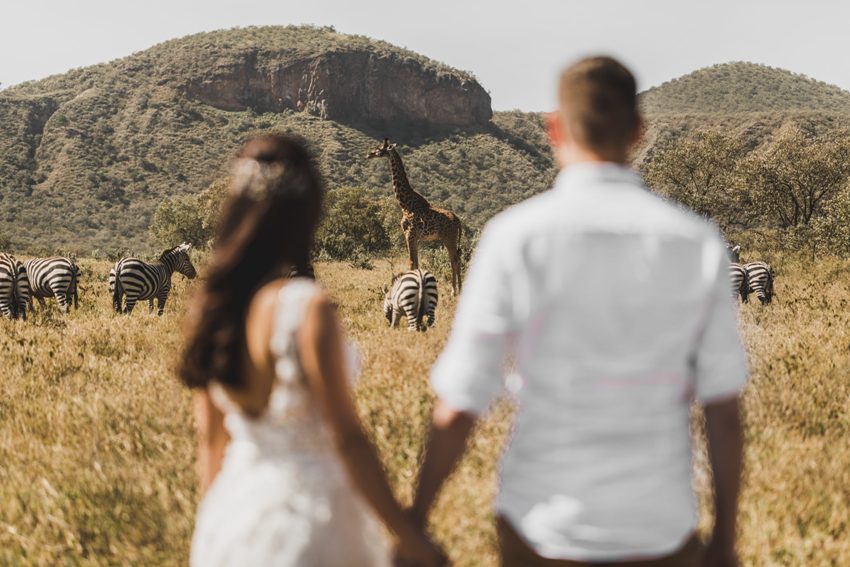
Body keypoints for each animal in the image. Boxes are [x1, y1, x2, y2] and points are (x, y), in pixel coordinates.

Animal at [366, 140, 460, 296]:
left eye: (380, 149)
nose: (369, 154)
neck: (405, 204)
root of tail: (459, 221)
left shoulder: (409, 233)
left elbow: (411, 262)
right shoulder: (415, 237)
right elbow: (416, 262)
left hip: (449, 238)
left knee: (454, 260)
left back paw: (455, 291)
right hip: (451, 239)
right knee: (456, 259)